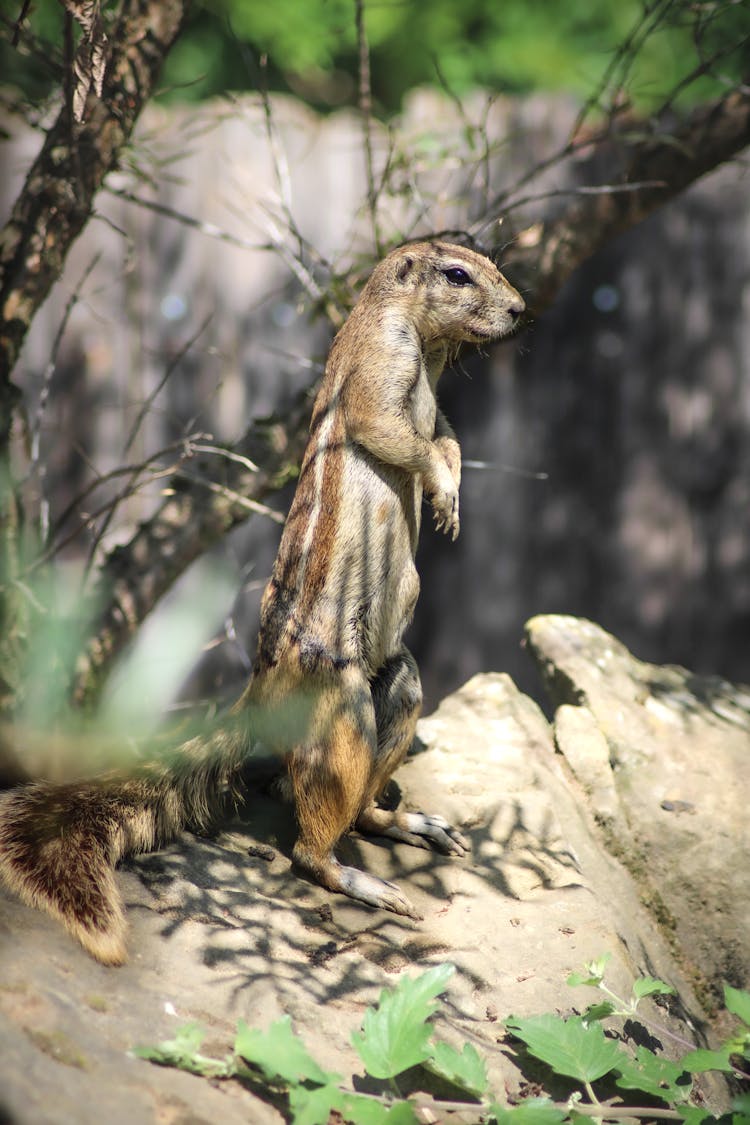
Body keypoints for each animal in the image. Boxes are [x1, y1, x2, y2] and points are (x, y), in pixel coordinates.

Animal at [0, 241, 526, 963]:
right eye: (457, 274)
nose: (522, 310)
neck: (425, 344)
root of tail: (255, 695)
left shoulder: (439, 403)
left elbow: (447, 436)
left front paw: (452, 499)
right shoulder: (380, 366)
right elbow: (398, 434)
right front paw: (443, 491)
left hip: (400, 680)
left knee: (367, 797)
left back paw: (411, 822)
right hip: (339, 707)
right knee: (311, 846)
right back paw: (361, 880)